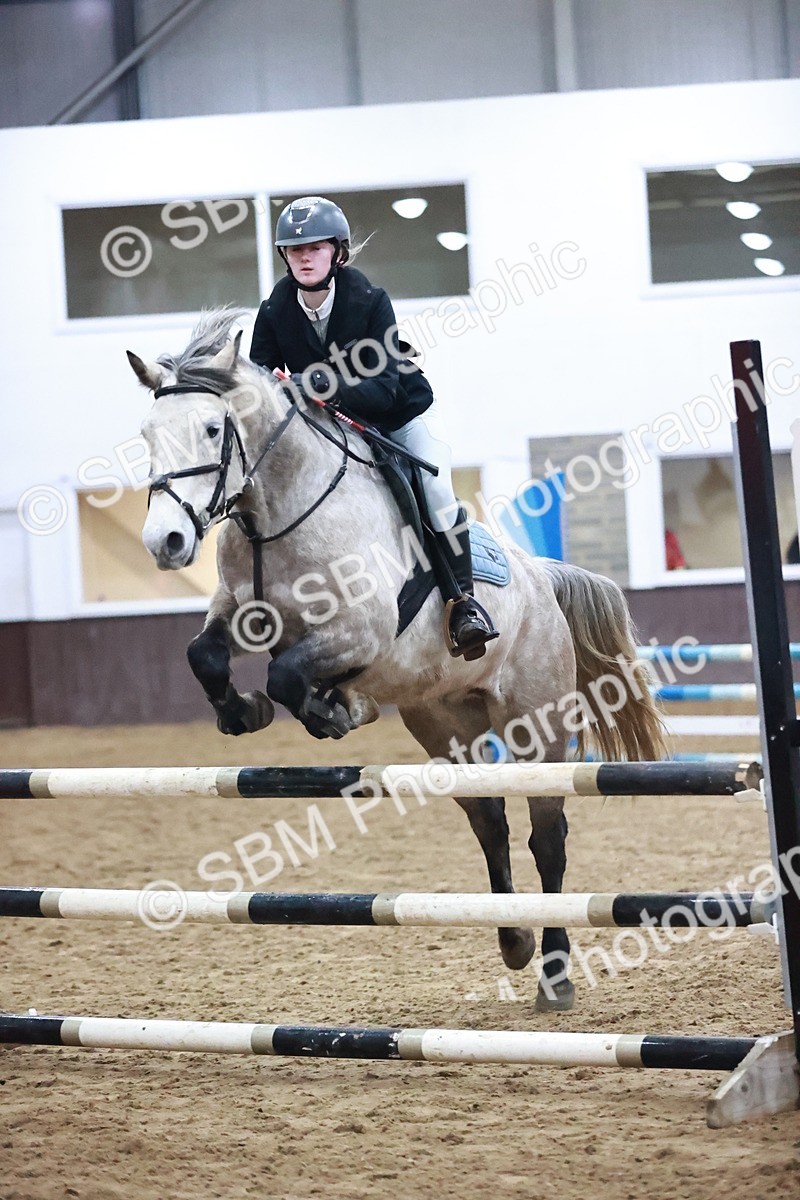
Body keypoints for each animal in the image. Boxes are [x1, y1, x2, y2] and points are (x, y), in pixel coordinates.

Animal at [129, 308, 666, 1011]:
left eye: (213, 429)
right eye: (146, 434)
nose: (164, 542)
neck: (279, 510)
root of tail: (541, 579)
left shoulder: (363, 632)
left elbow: (287, 673)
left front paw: (335, 710)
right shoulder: (239, 611)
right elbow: (206, 657)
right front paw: (246, 712)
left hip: (537, 727)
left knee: (546, 836)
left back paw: (554, 972)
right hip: (445, 726)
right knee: (490, 822)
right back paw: (514, 942)